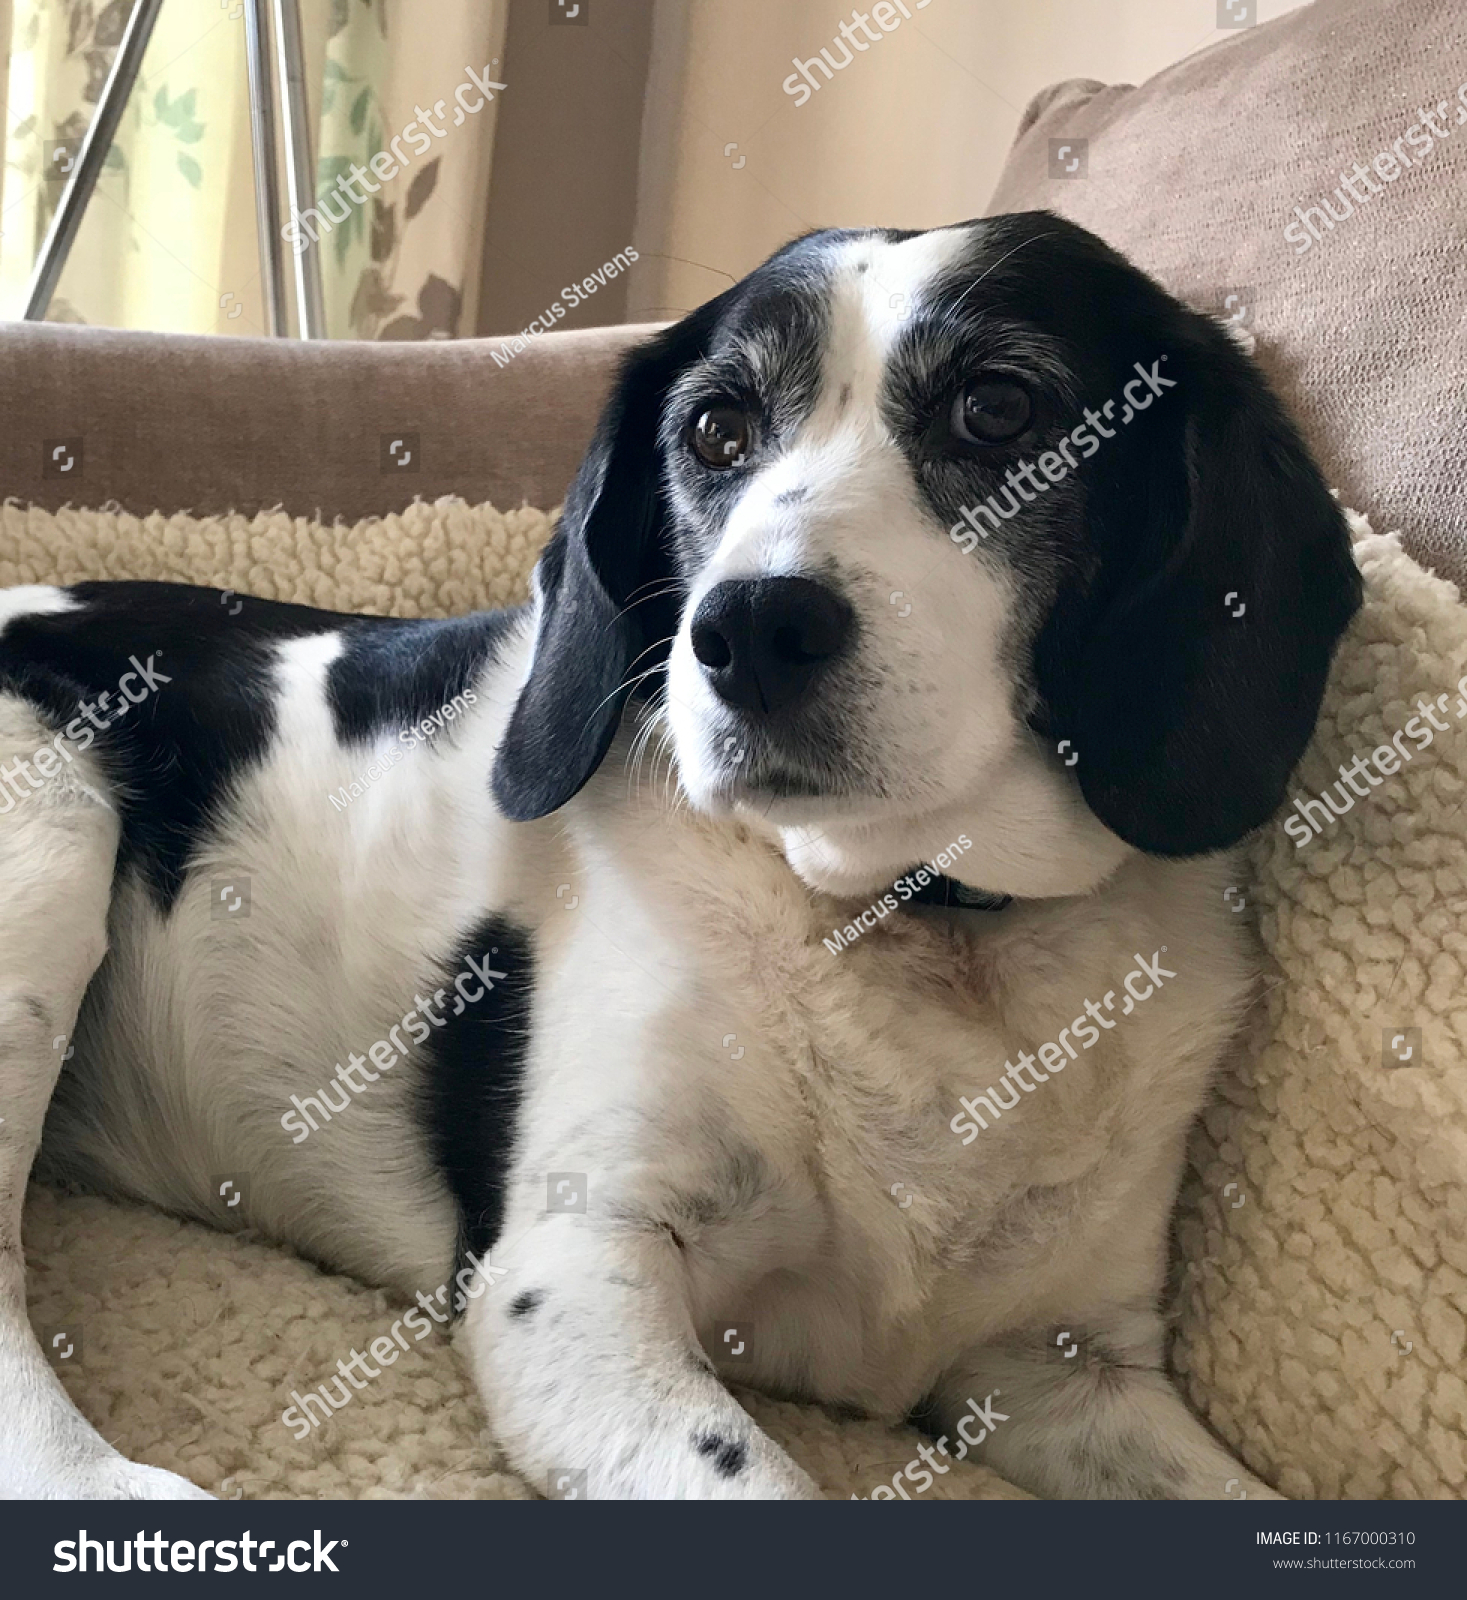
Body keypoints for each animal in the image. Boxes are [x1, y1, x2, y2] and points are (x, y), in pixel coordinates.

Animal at [0, 216, 1356, 1497]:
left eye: (1000, 408)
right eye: (715, 429)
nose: (747, 627)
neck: (915, 926)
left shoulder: (1067, 1367)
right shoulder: (574, 1279)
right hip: (49, 841)